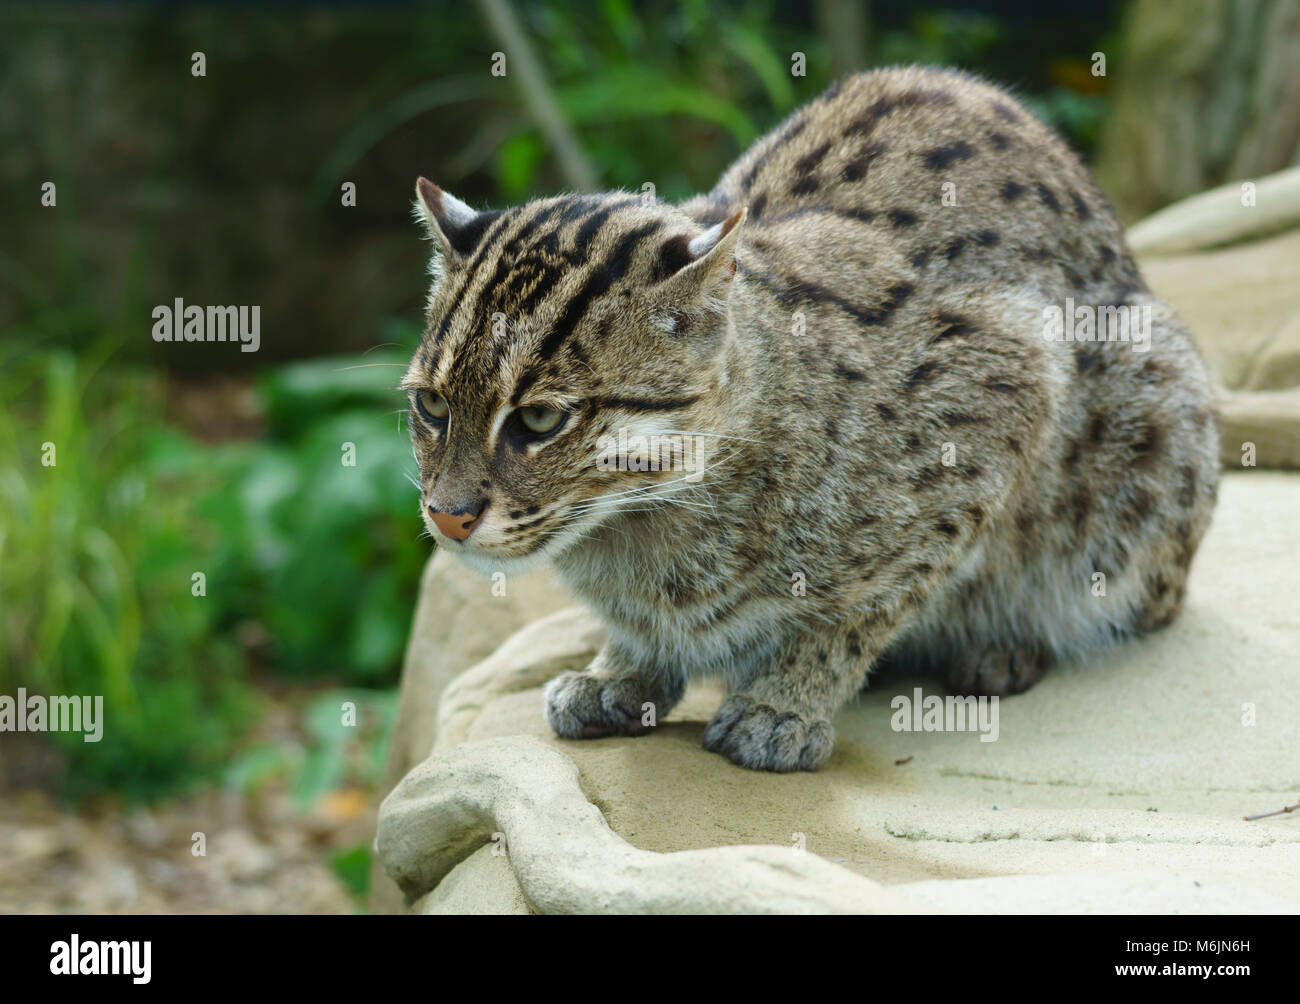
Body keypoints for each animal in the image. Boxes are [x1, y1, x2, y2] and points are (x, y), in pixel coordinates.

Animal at [403, 66, 1216, 775]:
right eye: (431, 406)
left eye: (541, 418)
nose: (446, 515)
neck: (647, 512)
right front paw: (623, 670)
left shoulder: (1008, 386)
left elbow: (865, 605)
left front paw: (786, 701)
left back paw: (1006, 643)